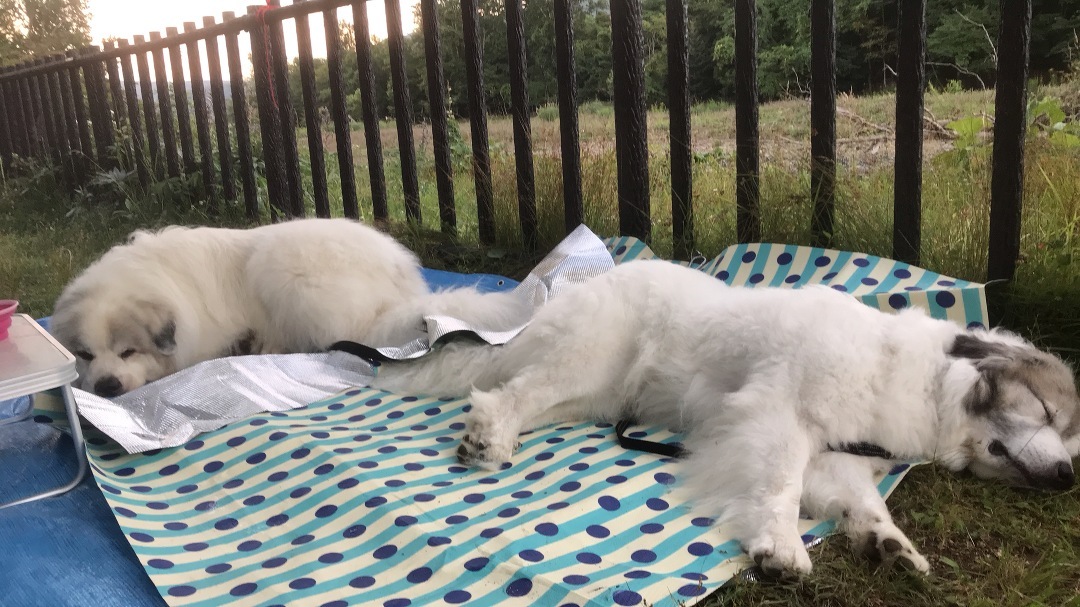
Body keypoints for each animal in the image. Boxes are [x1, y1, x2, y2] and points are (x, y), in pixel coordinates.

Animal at [373, 259, 1080, 574]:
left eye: (1073, 441)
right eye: (1045, 410)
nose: (1067, 478)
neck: (920, 379)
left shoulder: (837, 456)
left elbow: (863, 502)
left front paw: (889, 543)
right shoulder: (779, 419)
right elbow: (780, 488)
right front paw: (782, 546)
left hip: (591, 395)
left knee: (529, 398)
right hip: (583, 360)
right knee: (507, 394)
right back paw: (488, 439)